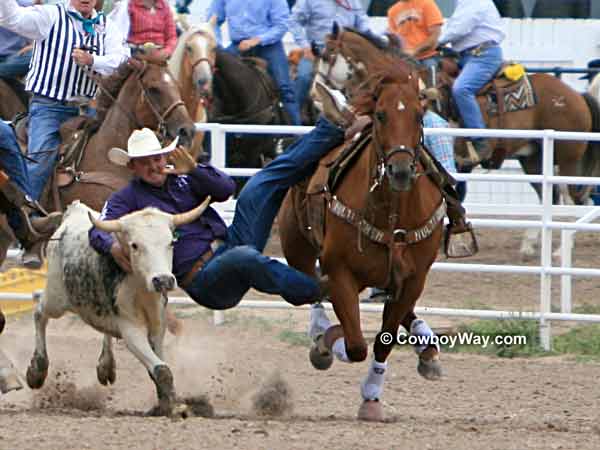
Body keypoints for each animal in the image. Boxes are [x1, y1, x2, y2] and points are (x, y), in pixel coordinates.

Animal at [278, 61, 442, 420]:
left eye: (418, 115)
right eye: (381, 115)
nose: (400, 170)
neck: (392, 212)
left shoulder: (414, 279)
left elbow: (384, 340)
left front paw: (371, 397)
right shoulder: (340, 271)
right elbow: (355, 345)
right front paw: (328, 342)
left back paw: (427, 348)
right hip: (296, 249)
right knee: (311, 286)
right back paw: (321, 333)